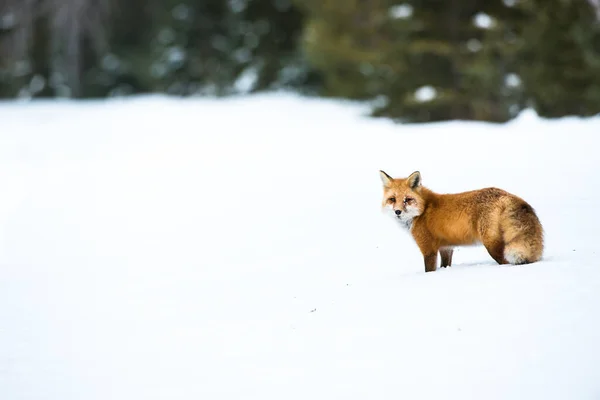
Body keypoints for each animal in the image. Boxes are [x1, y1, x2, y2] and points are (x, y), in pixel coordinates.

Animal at [380, 169, 544, 272]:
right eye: (392, 199)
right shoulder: (446, 248)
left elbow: (429, 270)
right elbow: (445, 265)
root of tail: (506, 194)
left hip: (494, 247)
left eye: (407, 200)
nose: (397, 212)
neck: (424, 209)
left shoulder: (429, 249)